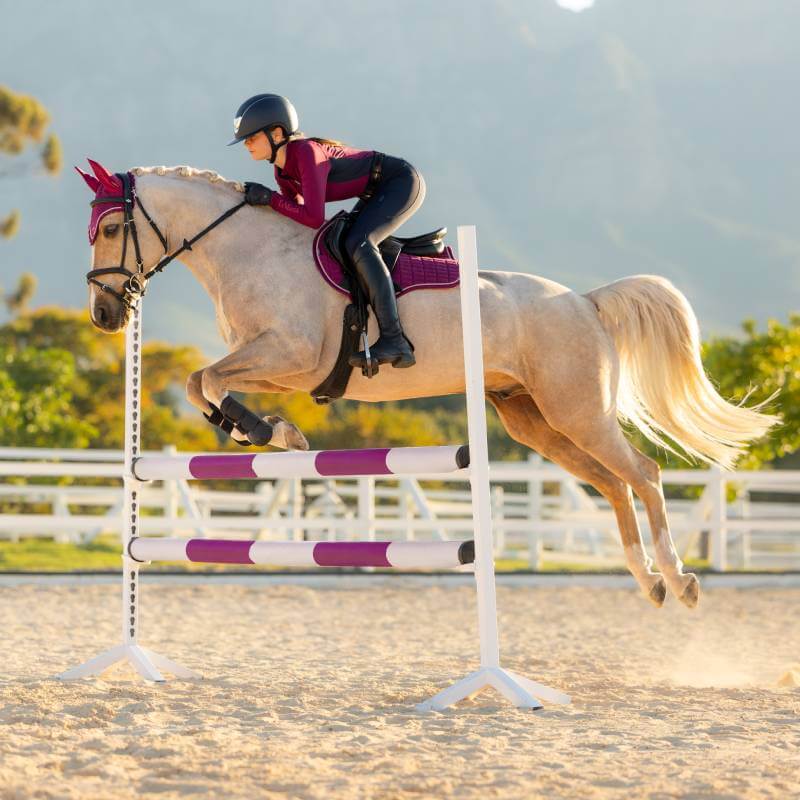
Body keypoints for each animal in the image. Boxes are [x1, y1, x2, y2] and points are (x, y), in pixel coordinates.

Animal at [77, 160, 780, 609]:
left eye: (111, 229)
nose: (106, 315)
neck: (246, 249)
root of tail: (583, 300)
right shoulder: (276, 364)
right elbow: (201, 380)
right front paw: (268, 430)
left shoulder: (293, 355)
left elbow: (206, 377)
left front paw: (264, 430)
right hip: (536, 419)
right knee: (613, 484)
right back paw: (649, 582)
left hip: (579, 412)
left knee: (644, 474)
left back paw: (679, 580)